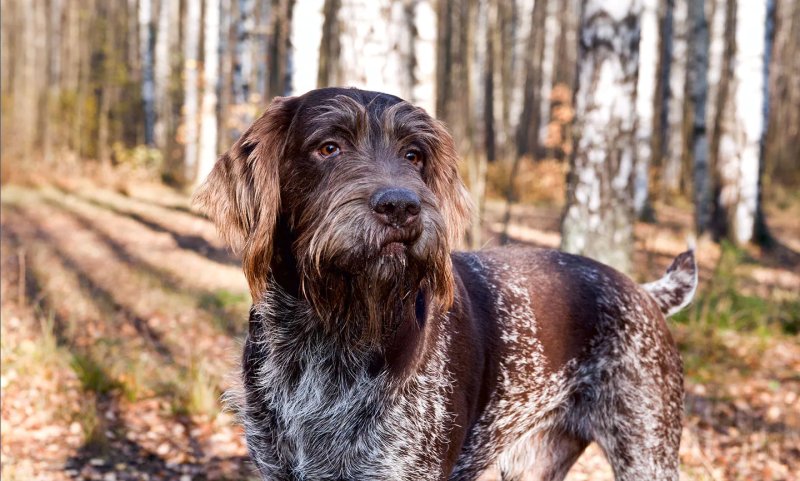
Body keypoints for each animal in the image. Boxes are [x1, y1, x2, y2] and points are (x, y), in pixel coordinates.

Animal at [194, 87, 692, 480]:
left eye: (414, 155)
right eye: (328, 147)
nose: (401, 206)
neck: (330, 329)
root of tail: (643, 292)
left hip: (646, 452)